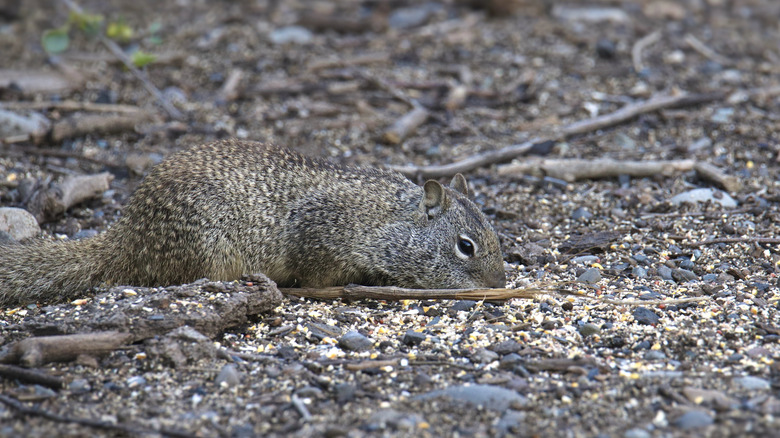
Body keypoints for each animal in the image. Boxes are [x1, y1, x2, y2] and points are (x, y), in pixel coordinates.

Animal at [0, 139, 505, 306]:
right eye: (466, 246)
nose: (500, 285)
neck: (388, 220)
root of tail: (125, 239)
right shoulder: (321, 239)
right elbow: (318, 274)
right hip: (208, 247)